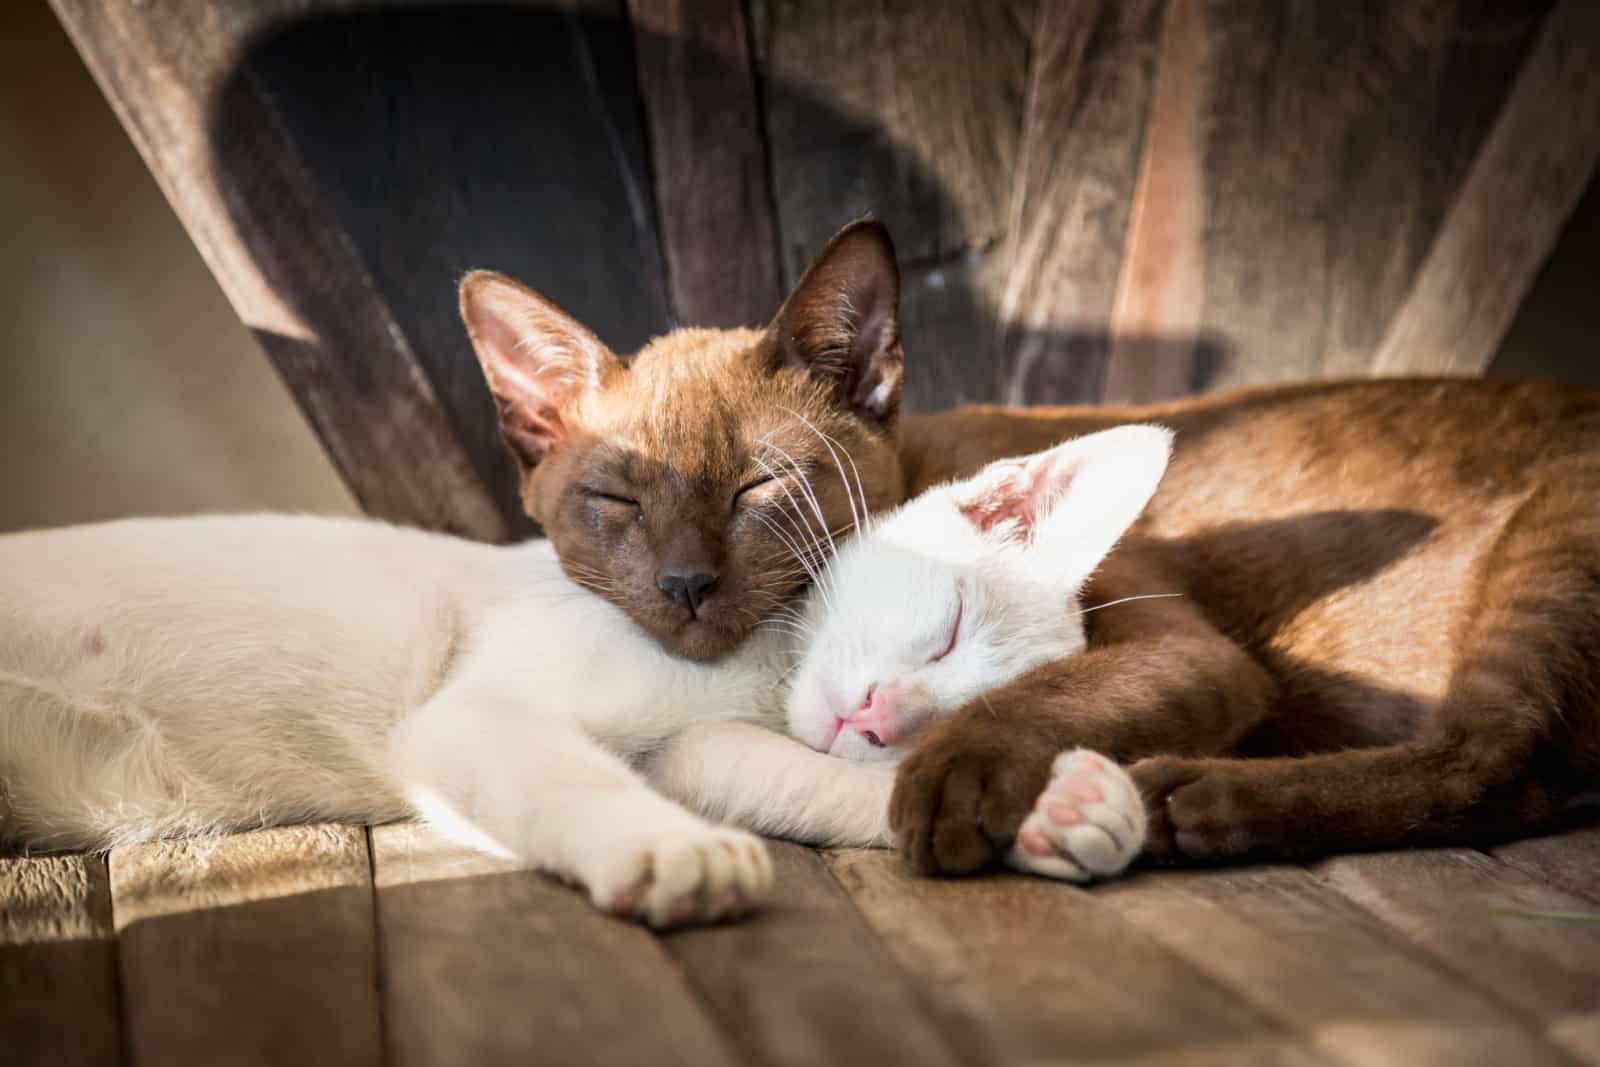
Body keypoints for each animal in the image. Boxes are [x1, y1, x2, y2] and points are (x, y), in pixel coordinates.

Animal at [3, 425, 1164, 927]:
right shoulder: (469, 721)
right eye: (947, 632)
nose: (882, 718)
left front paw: (1055, 809)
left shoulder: (699, 751)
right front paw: (671, 852)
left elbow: (816, 780)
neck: (755, 668)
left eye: (956, 711)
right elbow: (570, 776)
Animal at [896, 383, 1600, 876]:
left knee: (1484, 760)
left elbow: (1036, 693)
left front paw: (950, 775)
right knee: (1527, 790)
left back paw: (1182, 801)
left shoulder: (1195, 649)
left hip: (1555, 533)